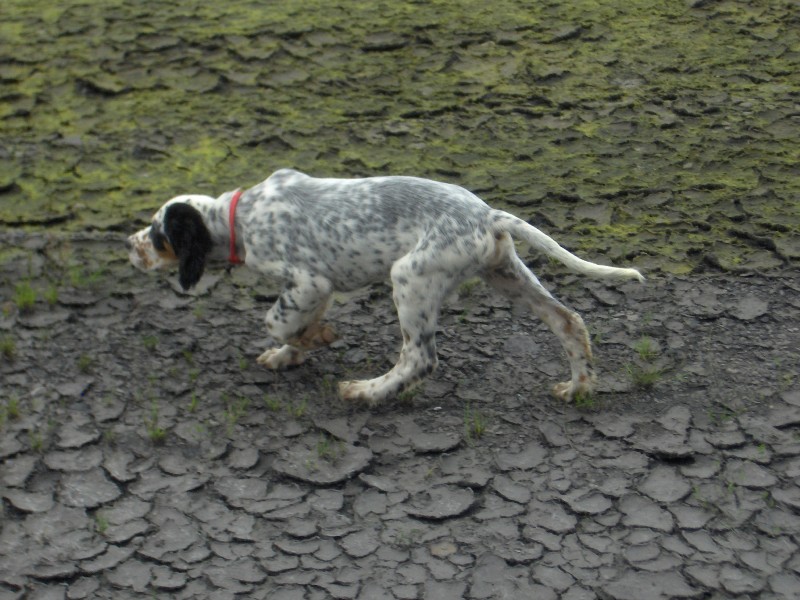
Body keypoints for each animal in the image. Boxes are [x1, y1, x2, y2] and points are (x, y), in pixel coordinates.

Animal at [130, 166, 644, 406]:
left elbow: (276, 321)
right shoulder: (317, 290)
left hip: (411, 277)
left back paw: (366, 392)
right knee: (569, 321)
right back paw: (578, 387)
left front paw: (313, 339)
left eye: (157, 235)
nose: (128, 246)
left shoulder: (307, 280)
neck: (238, 216)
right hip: (506, 273)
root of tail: (488, 215)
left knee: (419, 358)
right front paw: (292, 352)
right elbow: (294, 327)